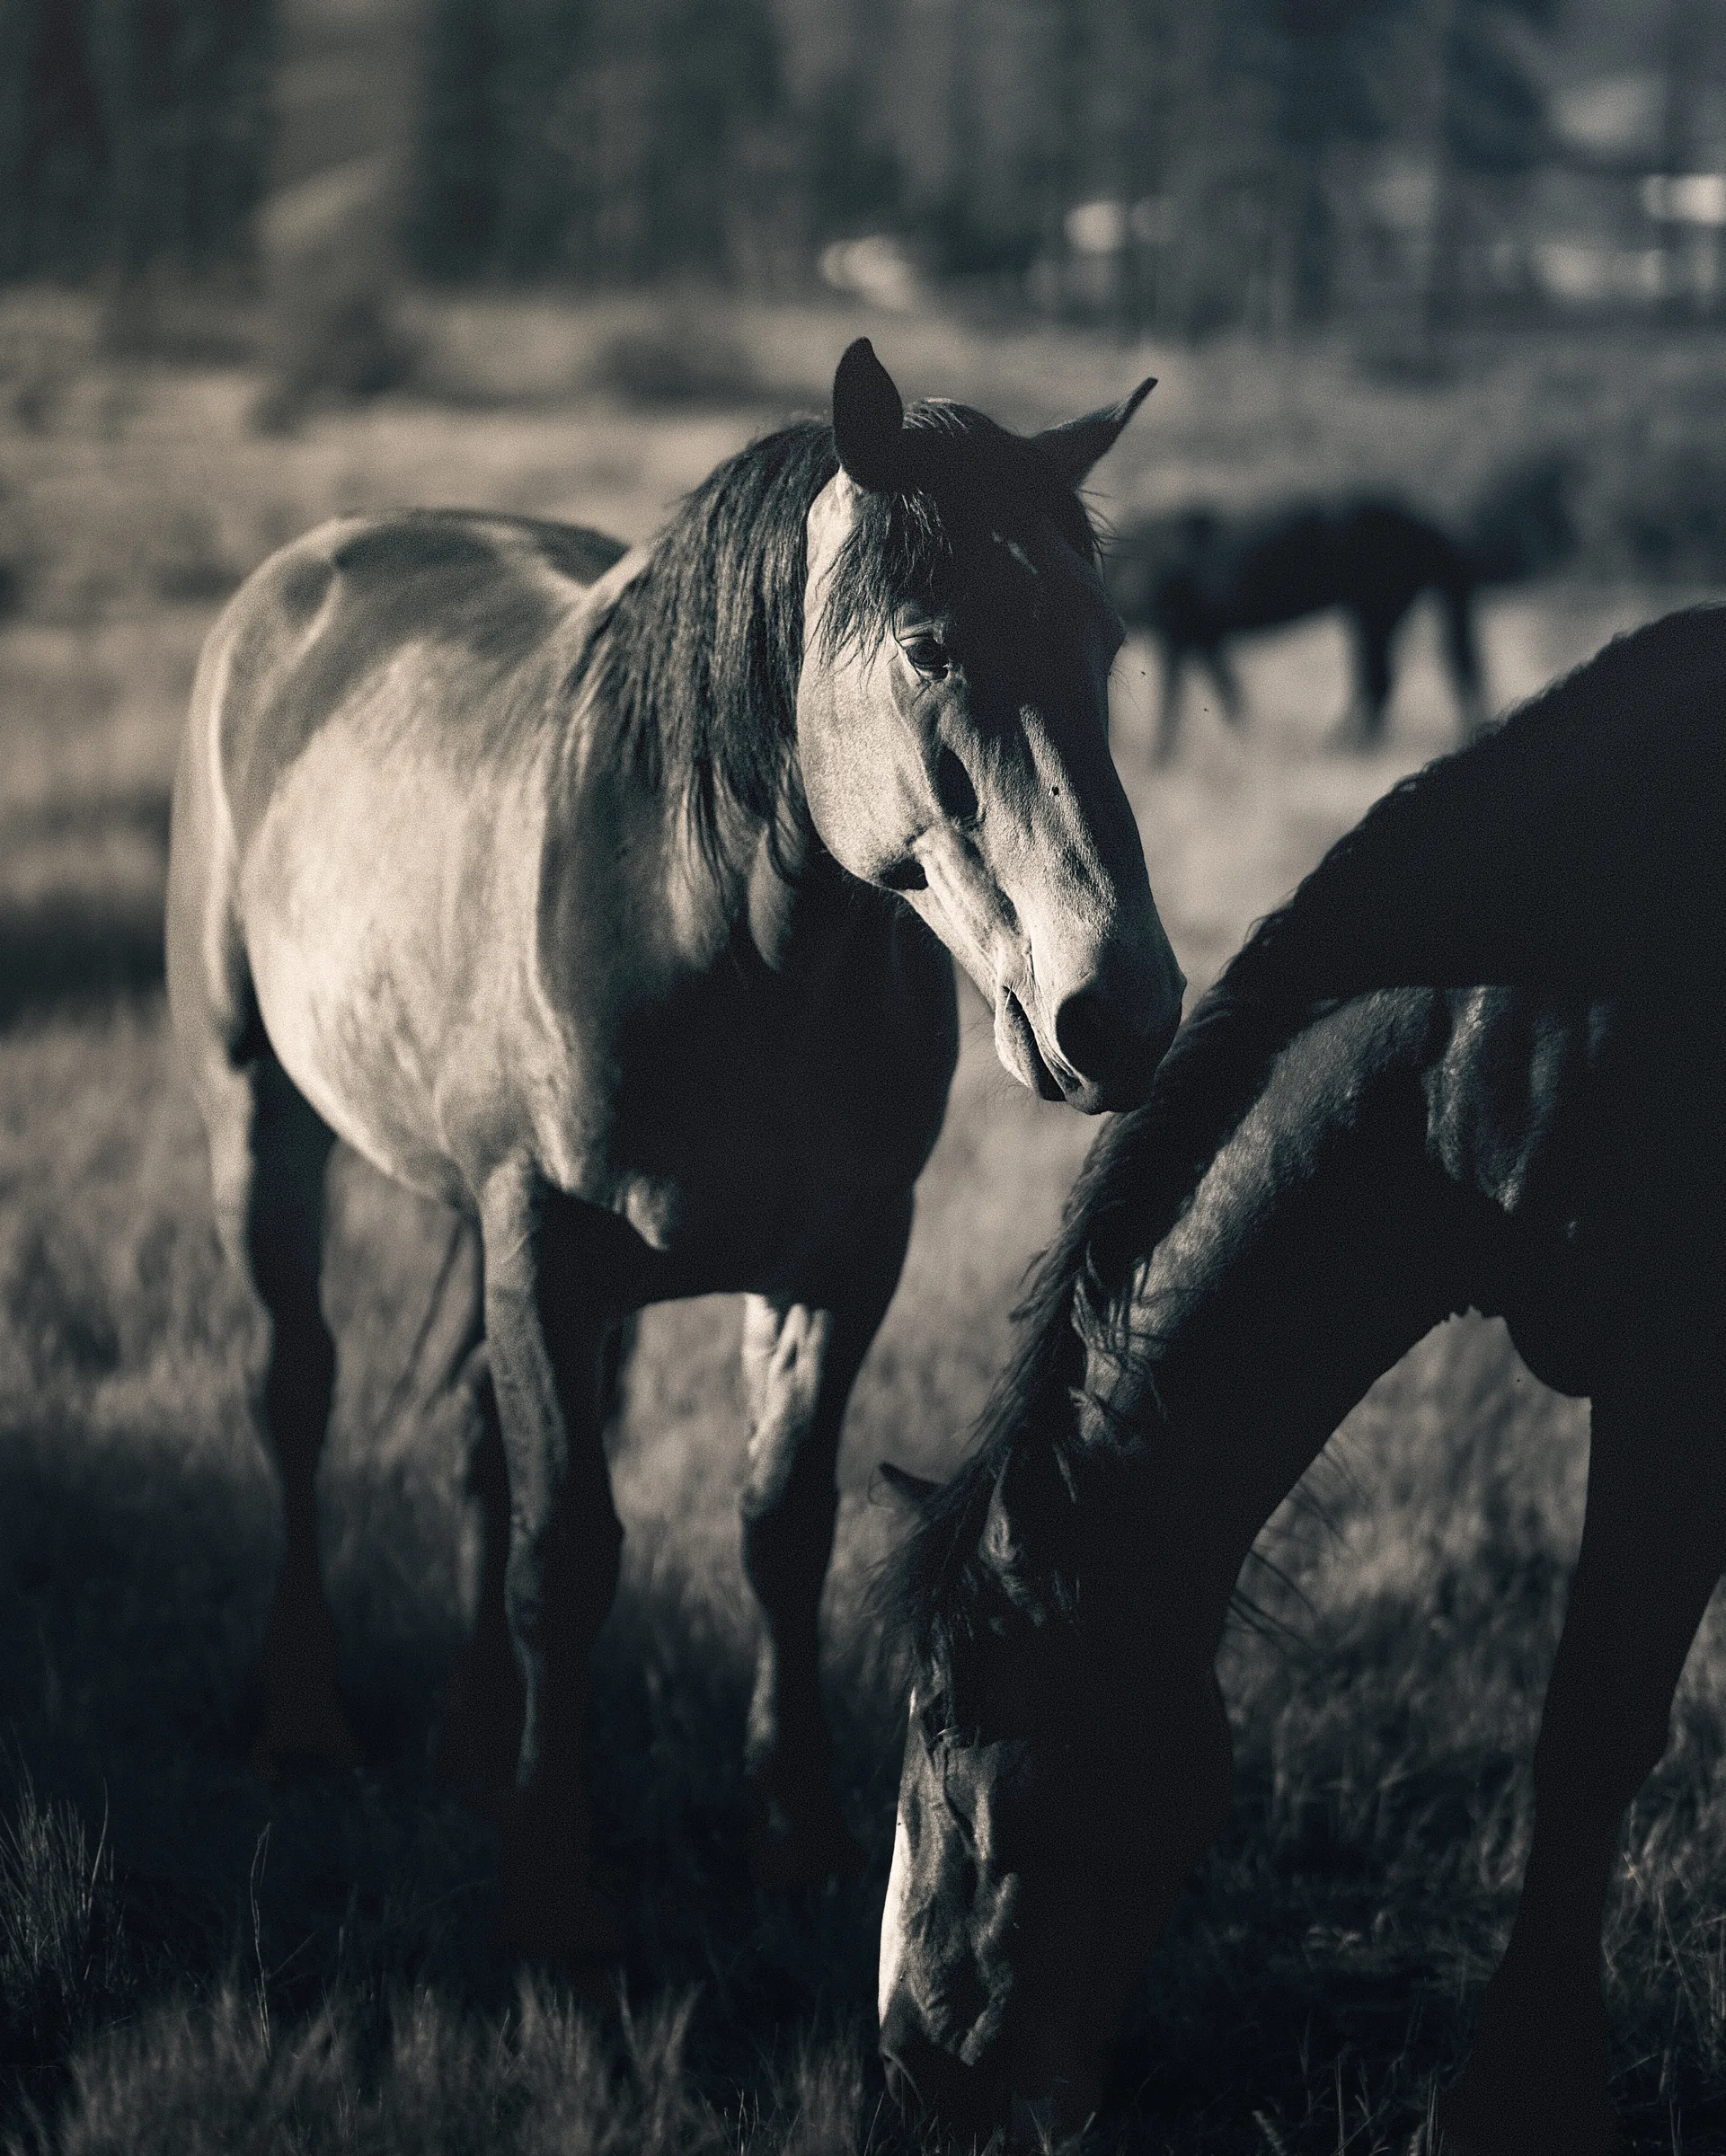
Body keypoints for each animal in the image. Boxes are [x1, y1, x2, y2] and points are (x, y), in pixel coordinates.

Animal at [164, 337, 1184, 1957]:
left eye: (1106, 644)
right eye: (929, 648)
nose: (1122, 1009)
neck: (722, 942)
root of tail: (301, 574)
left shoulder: (839, 1265)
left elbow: (781, 1530)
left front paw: (796, 1834)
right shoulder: (547, 1252)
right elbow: (565, 1557)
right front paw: (546, 1887)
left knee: (471, 1441)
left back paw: (467, 1740)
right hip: (257, 1116)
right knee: (298, 1392)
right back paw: (306, 1719)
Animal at [1107, 456, 1573, 761]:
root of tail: (1424, 523)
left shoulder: (1178, 636)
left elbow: (1174, 702)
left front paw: (1160, 758)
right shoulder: (1205, 638)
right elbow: (1230, 695)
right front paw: (1249, 744)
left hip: (1373, 612)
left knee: (1377, 681)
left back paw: (1342, 747)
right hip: (1370, 615)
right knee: (1380, 682)